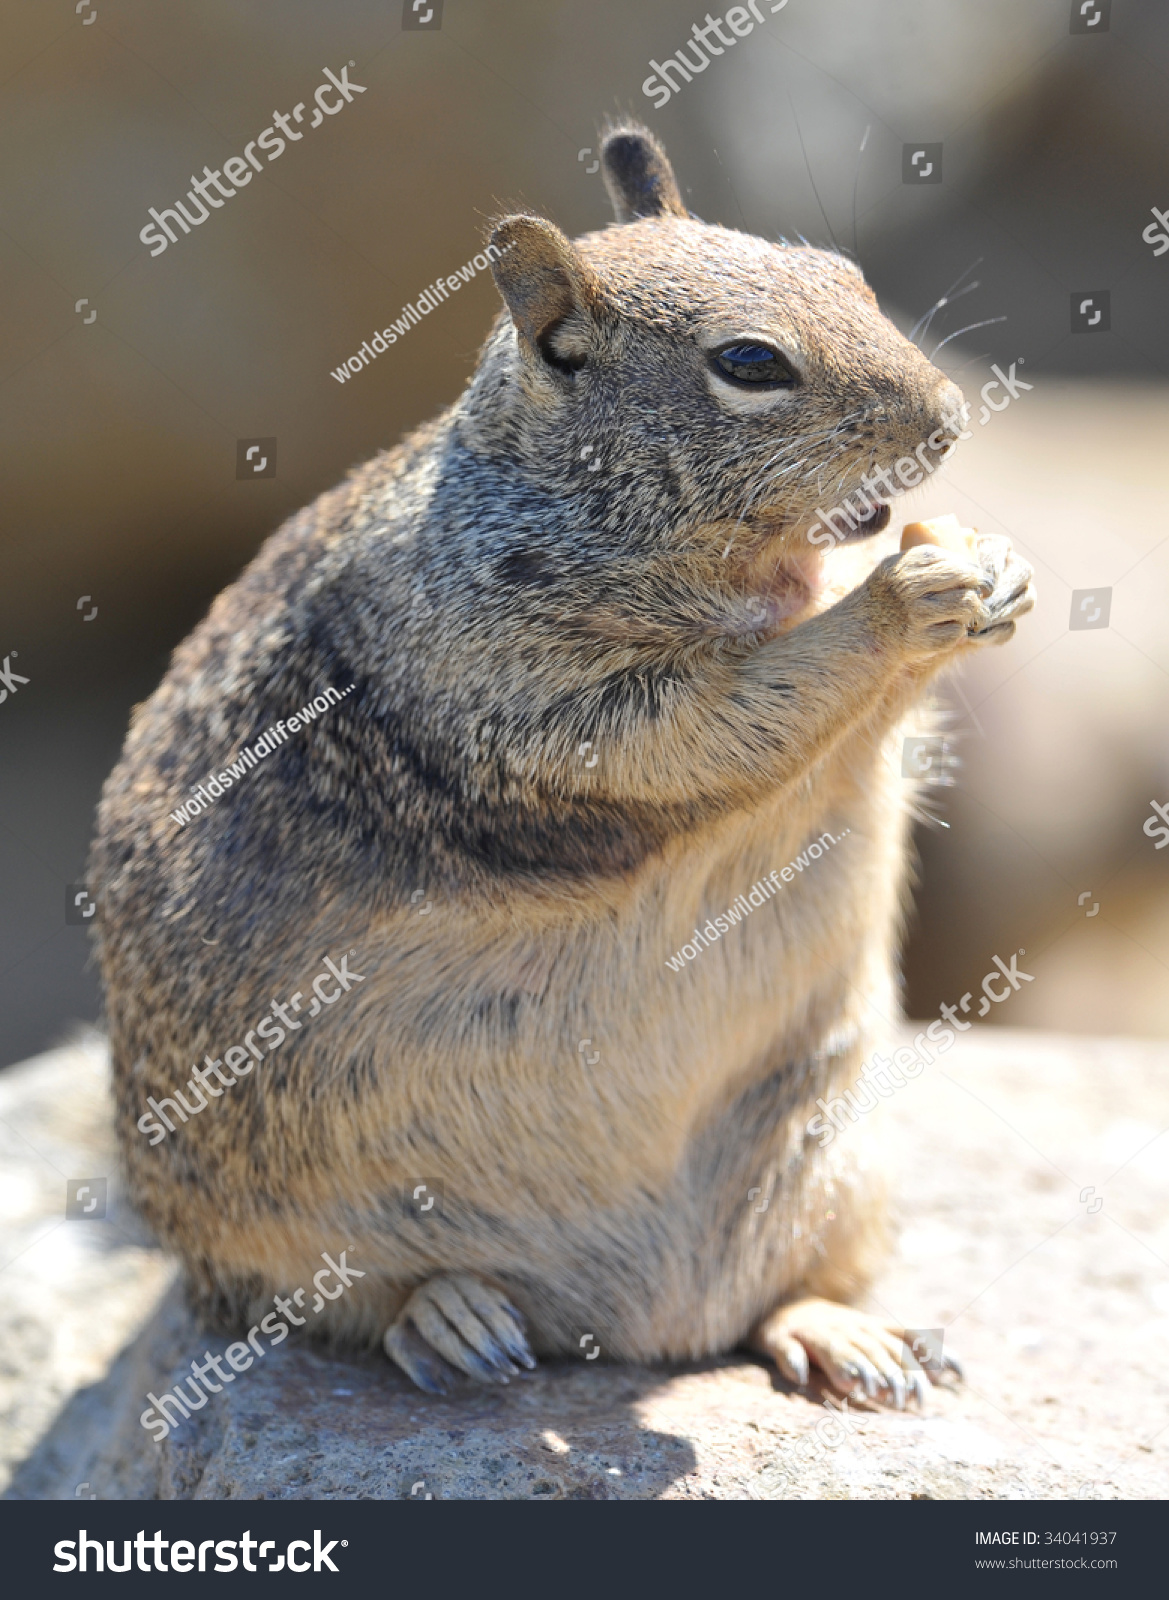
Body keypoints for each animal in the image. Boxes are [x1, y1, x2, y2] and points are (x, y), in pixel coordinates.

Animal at [95, 121, 1036, 1401]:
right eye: (748, 363)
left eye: (846, 274)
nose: (944, 415)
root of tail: (639, 1320)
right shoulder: (536, 698)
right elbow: (722, 718)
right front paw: (904, 597)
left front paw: (990, 566)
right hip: (261, 1247)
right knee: (343, 1303)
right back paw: (452, 1317)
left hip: (834, 1162)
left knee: (774, 1292)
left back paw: (844, 1335)